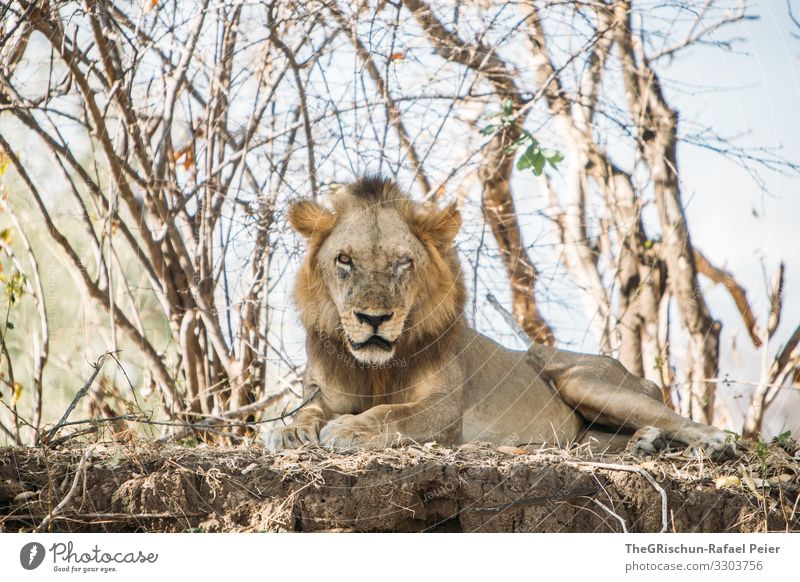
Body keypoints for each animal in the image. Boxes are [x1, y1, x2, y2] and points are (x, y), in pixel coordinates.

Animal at [268, 176, 736, 464]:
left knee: (675, 417)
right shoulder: (322, 392)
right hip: (584, 429)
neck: (375, 369)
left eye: (403, 263)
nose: (373, 319)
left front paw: (349, 429)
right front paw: (290, 432)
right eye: (344, 260)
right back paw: (643, 443)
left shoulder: (445, 408)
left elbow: (392, 415)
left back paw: (715, 442)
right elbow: (305, 412)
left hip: (582, 380)